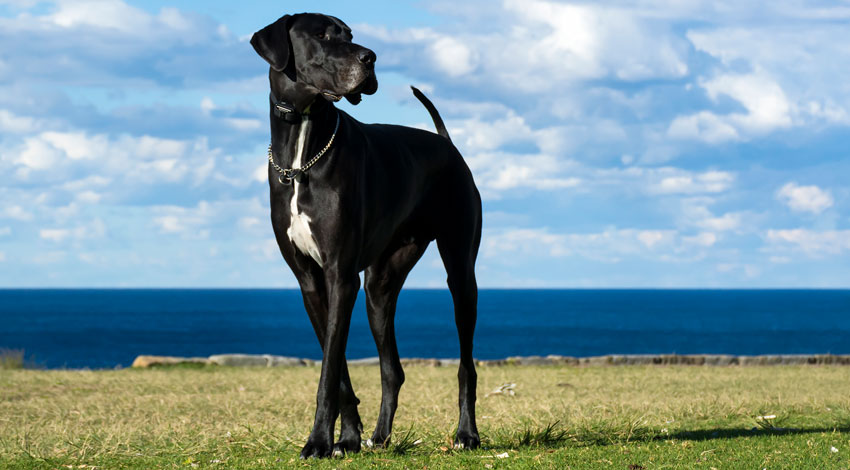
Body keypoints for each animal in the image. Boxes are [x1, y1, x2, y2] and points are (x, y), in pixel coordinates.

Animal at [248, 13, 480, 458]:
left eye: (350, 35)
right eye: (321, 36)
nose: (370, 57)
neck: (302, 150)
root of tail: (446, 143)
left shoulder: (341, 275)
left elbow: (329, 370)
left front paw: (319, 441)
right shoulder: (312, 281)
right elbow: (336, 367)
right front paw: (348, 439)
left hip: (461, 272)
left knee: (466, 366)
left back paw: (466, 434)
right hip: (379, 286)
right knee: (392, 369)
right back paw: (380, 436)